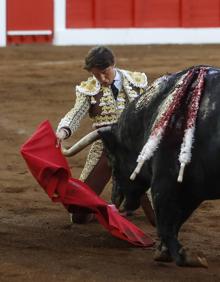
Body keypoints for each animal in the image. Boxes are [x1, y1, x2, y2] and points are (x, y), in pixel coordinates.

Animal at [99, 65, 220, 266]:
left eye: (111, 160)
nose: (115, 201)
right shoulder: (191, 188)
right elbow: (175, 219)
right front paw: (165, 251)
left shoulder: (167, 181)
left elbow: (166, 221)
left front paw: (179, 255)